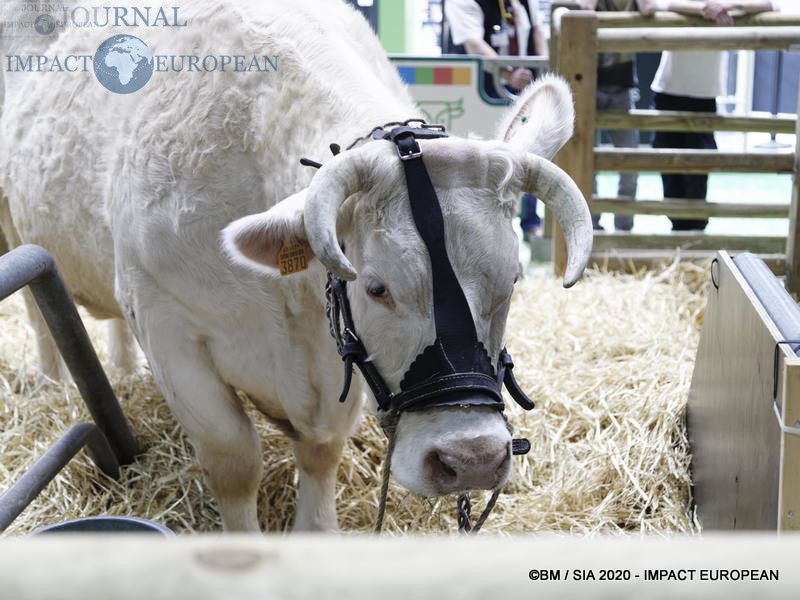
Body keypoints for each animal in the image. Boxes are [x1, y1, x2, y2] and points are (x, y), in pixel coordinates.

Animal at [1, 0, 592, 528]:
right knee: (36, 313)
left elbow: (321, 449)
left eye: (512, 281)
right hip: (15, 229)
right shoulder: (165, 323)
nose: (470, 458)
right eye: (376, 287)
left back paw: (122, 369)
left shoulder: (337, 360)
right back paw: (51, 382)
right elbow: (234, 459)